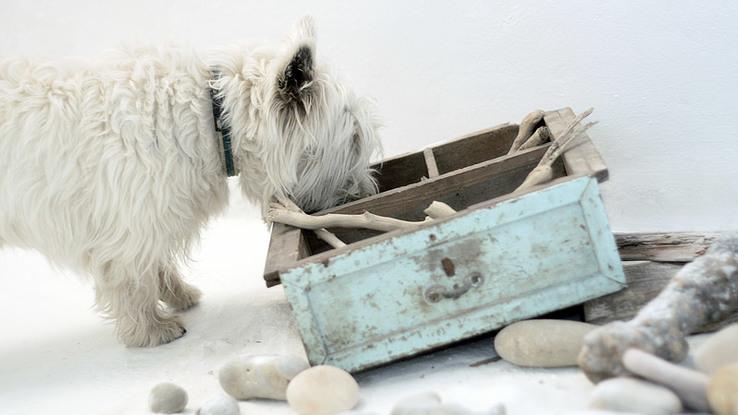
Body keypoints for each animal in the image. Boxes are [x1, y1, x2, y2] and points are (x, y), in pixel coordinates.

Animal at [0, 17, 380, 348]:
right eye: (355, 140)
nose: (364, 194)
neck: (214, 119)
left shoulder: (150, 218)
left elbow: (156, 265)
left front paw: (179, 295)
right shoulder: (130, 225)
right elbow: (132, 279)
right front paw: (150, 331)